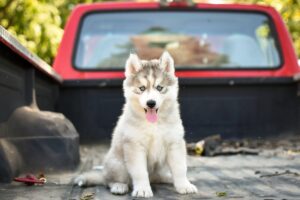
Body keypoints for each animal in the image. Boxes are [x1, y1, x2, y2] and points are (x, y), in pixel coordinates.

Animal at [74, 51, 197, 197]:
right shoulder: (134, 145)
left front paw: (184, 185)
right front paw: (143, 189)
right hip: (118, 164)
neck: (153, 124)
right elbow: (140, 172)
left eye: (159, 88)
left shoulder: (174, 143)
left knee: (157, 176)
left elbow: (180, 168)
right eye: (142, 88)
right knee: (109, 181)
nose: (151, 103)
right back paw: (118, 186)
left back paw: (168, 177)